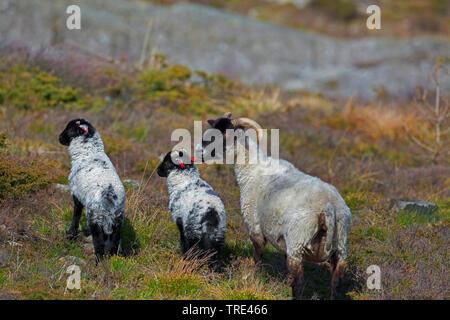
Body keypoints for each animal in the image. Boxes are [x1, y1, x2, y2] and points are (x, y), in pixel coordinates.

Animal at [58, 118, 125, 262]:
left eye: (68, 128)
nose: (59, 138)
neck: (90, 152)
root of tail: (110, 196)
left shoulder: (76, 193)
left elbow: (76, 215)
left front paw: (70, 235)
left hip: (96, 218)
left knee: (99, 244)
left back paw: (98, 263)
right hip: (117, 221)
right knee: (114, 243)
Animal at [200, 113, 352, 300]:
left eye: (222, 135)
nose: (199, 153)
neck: (253, 170)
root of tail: (328, 205)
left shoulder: (254, 225)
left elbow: (258, 254)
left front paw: (255, 276)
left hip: (297, 241)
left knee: (299, 282)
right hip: (340, 246)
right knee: (336, 283)